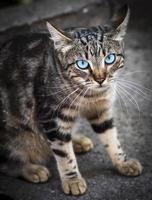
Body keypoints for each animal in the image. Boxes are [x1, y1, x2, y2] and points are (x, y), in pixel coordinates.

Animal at [0, 4, 142, 195]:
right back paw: (32, 170)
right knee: (8, 162)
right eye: (82, 64)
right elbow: (64, 154)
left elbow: (111, 137)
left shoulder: (101, 111)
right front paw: (72, 180)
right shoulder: (52, 117)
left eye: (110, 58)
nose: (100, 79)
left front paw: (123, 162)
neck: (89, 95)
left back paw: (77, 141)